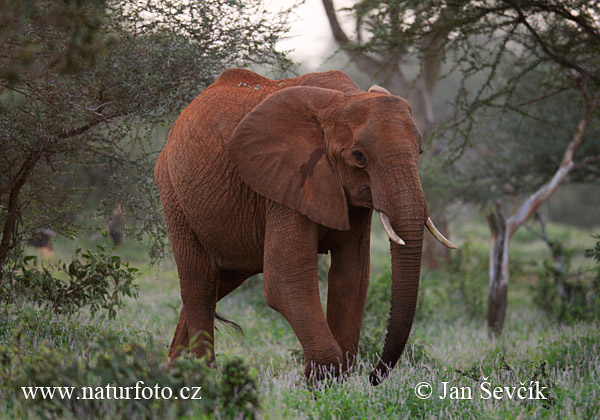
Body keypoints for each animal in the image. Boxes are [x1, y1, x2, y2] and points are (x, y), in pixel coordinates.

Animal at [155, 67, 454, 386]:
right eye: (359, 157)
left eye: (419, 151)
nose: (374, 376)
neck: (343, 100)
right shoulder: (286, 183)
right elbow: (286, 280)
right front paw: (321, 381)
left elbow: (352, 276)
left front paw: (333, 382)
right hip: (173, 193)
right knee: (199, 283)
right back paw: (202, 377)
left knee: (218, 283)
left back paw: (171, 370)